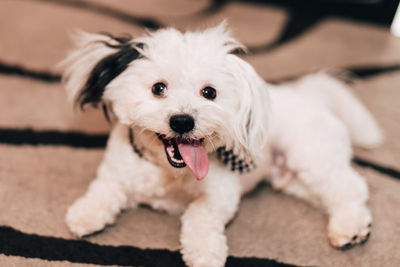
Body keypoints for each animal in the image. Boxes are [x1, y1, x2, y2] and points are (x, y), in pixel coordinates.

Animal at [61, 23, 384, 267]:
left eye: (209, 92)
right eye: (158, 88)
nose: (182, 121)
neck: (168, 173)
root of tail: (311, 95)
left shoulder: (220, 193)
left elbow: (200, 216)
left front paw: (204, 254)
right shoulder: (117, 171)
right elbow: (104, 190)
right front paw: (85, 215)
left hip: (311, 155)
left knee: (349, 186)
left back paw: (350, 227)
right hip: (293, 179)